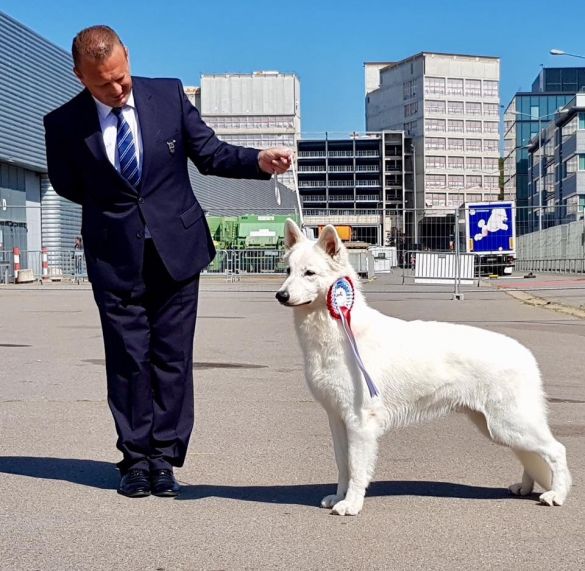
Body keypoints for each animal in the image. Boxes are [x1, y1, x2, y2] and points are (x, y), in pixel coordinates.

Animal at [274, 221, 572, 516]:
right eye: (288, 271)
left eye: (309, 273)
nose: (281, 295)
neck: (339, 331)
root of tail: (525, 353)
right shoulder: (337, 419)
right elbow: (342, 464)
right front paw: (339, 497)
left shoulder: (359, 422)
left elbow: (357, 468)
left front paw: (352, 504)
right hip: (500, 429)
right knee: (531, 455)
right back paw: (525, 487)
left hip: (509, 424)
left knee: (556, 450)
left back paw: (556, 495)